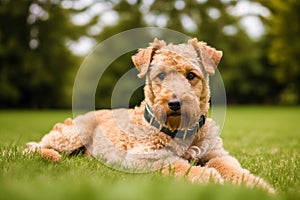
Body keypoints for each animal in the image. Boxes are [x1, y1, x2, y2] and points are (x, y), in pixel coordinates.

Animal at [27, 38, 276, 194]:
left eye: (191, 75)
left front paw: (261, 188)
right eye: (161, 75)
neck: (179, 130)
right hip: (71, 136)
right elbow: (182, 167)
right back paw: (52, 157)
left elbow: (234, 170)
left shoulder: (217, 154)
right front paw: (211, 179)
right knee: (34, 146)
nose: (174, 104)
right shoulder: (146, 158)